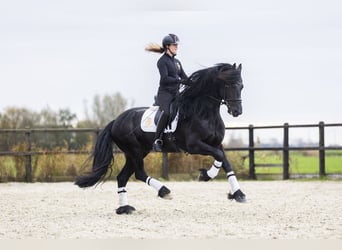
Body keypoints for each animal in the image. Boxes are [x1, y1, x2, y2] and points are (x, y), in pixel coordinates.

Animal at [75, 63, 246, 214]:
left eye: (241, 86)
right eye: (228, 85)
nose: (237, 111)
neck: (204, 113)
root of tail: (116, 121)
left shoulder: (216, 143)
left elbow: (225, 161)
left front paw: (238, 194)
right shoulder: (194, 146)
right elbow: (219, 156)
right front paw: (206, 176)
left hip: (136, 152)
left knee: (122, 177)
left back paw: (125, 208)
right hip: (135, 151)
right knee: (139, 173)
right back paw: (164, 191)